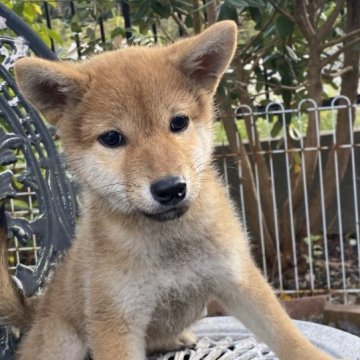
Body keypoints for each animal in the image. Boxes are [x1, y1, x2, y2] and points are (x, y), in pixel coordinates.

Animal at [0, 21, 332, 358]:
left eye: (178, 122)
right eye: (112, 138)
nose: (171, 188)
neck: (170, 239)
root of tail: (36, 309)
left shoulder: (239, 279)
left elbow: (285, 333)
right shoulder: (115, 321)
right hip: (64, 342)